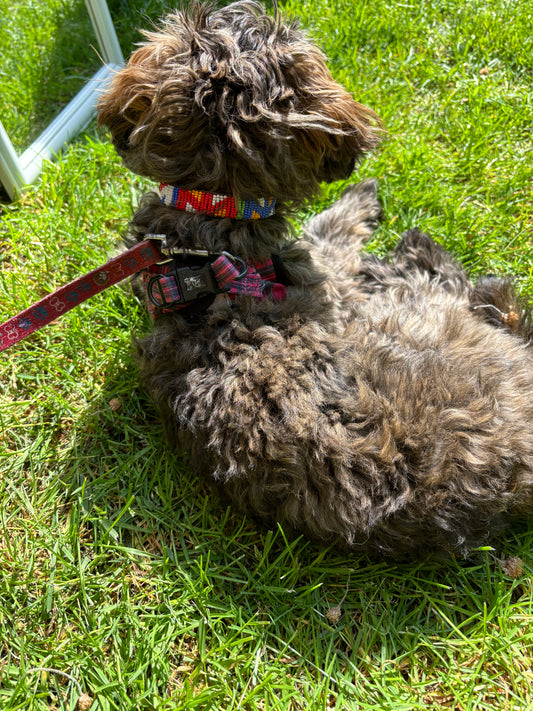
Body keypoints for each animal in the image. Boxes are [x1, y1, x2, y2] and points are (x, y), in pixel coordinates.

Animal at [96, 0, 532, 560]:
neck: (213, 225)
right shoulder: (332, 271)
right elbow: (335, 225)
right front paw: (364, 196)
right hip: (421, 315)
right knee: (468, 292)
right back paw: (419, 250)